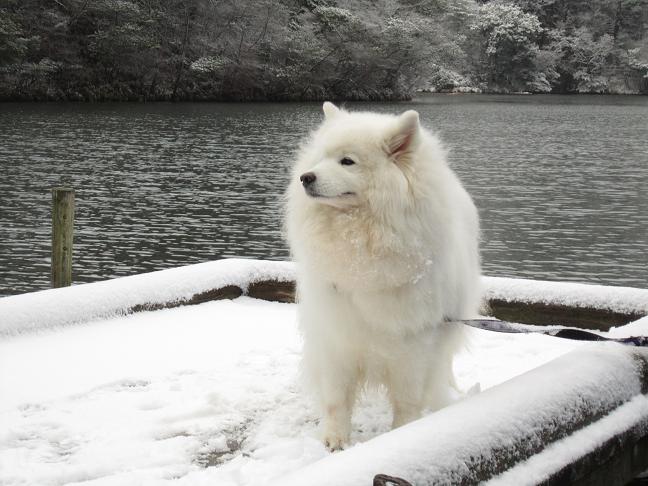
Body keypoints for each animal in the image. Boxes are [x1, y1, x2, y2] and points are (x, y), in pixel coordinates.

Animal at [284, 100, 480, 450]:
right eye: (320, 158)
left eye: (347, 161)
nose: (306, 178)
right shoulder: (337, 335)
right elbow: (337, 399)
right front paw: (334, 440)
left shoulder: (414, 342)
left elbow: (406, 401)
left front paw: (402, 434)